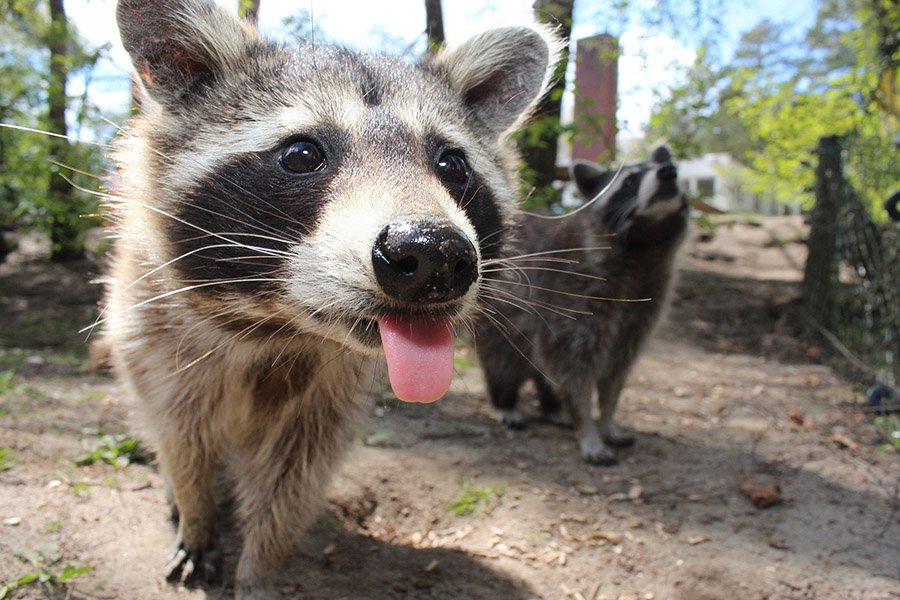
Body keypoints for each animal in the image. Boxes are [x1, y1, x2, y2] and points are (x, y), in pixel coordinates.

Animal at [106, 0, 559, 596]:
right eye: (302, 154)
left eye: (452, 164)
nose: (433, 253)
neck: (281, 324)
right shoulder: (157, 334)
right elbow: (183, 437)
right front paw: (197, 513)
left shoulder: (331, 396)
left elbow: (294, 479)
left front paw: (260, 566)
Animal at [475, 146, 688, 465]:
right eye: (629, 181)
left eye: (671, 167)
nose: (668, 172)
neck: (643, 246)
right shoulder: (571, 295)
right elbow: (572, 369)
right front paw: (587, 426)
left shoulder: (642, 309)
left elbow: (616, 371)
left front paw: (608, 418)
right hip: (499, 318)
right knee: (503, 363)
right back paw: (506, 403)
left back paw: (551, 407)